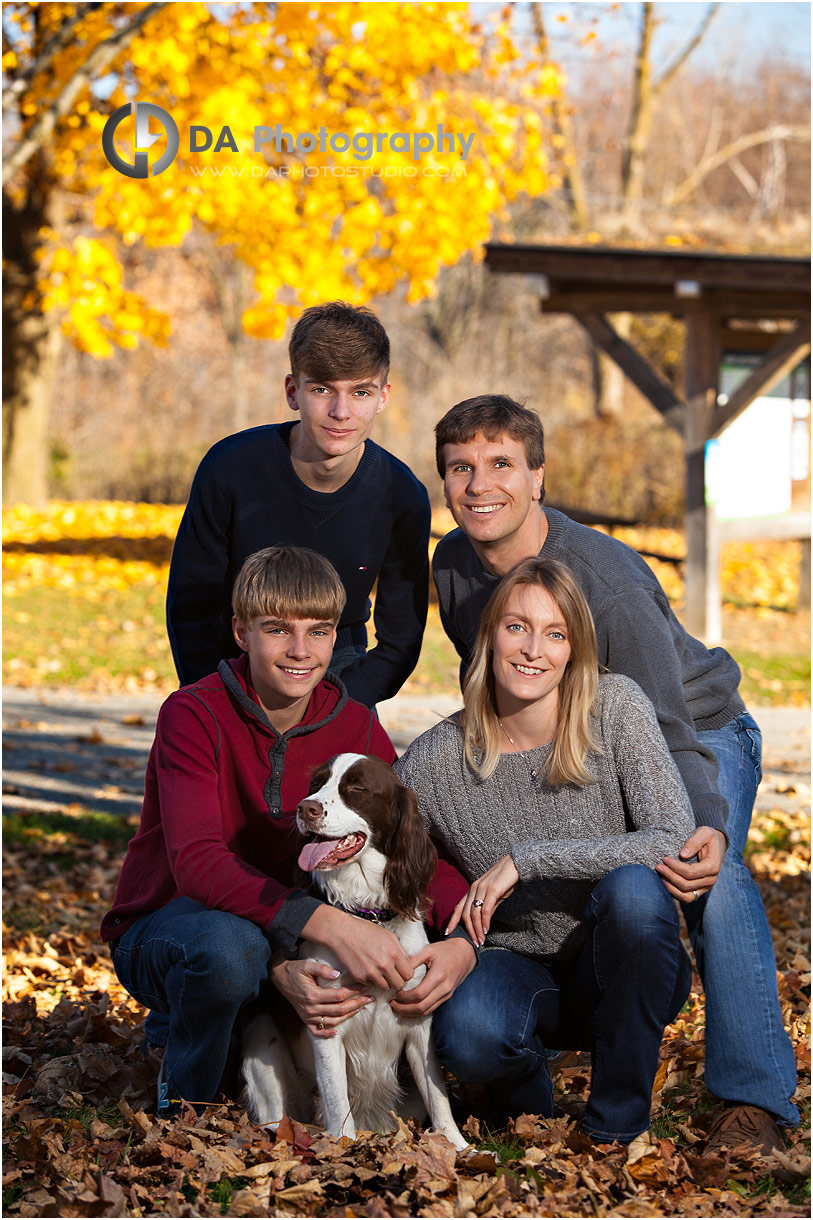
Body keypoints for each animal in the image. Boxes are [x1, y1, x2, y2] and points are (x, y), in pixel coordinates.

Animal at [240, 746, 466, 1146]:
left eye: (357, 788)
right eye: (316, 784)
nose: (305, 808)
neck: (367, 915)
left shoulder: (418, 1019)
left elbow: (438, 1096)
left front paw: (459, 1147)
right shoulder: (326, 1018)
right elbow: (335, 1094)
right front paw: (342, 1147)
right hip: (260, 1042)